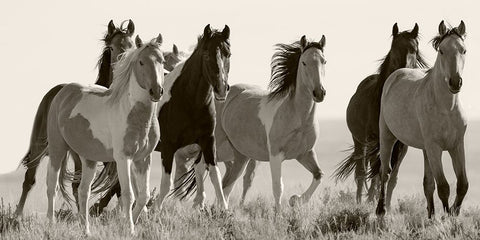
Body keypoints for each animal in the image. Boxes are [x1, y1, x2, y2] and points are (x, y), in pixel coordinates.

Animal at [15, 19, 135, 217]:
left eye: (132, 45)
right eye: (111, 47)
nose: (121, 69)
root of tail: (55, 91)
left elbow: (117, 184)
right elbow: (115, 185)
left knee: (76, 185)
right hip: (40, 143)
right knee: (29, 178)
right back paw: (17, 215)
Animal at [154, 24, 231, 210]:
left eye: (228, 54)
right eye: (206, 54)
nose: (221, 89)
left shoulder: (208, 141)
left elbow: (215, 175)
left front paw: (224, 209)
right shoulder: (168, 146)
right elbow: (166, 183)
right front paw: (154, 209)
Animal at [332, 23, 430, 205]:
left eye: (414, 49)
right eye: (394, 47)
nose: (403, 69)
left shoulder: (401, 145)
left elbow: (392, 177)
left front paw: (387, 205)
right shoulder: (373, 139)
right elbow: (375, 172)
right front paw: (370, 201)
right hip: (360, 141)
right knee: (362, 171)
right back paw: (360, 200)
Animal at [376, 21, 468, 218]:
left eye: (463, 50)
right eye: (441, 50)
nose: (455, 82)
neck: (446, 108)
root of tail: (397, 73)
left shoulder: (456, 145)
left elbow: (462, 184)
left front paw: (453, 213)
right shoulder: (435, 147)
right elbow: (443, 187)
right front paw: (446, 217)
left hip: (425, 150)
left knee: (428, 184)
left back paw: (431, 214)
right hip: (387, 136)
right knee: (385, 172)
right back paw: (381, 210)